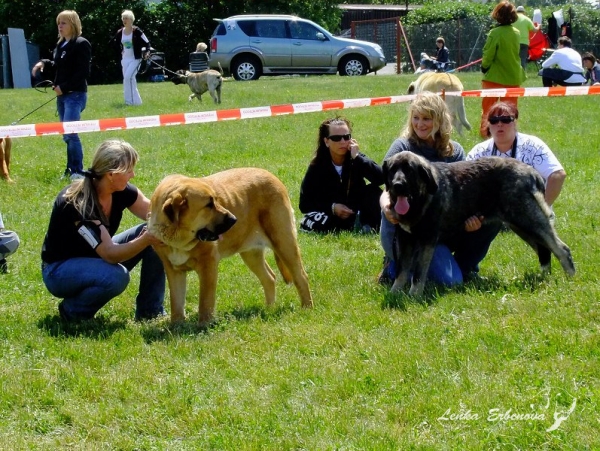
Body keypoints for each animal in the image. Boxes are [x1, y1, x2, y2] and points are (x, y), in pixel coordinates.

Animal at [148, 167, 314, 324]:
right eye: (209, 205)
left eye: (216, 200)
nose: (234, 219)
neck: (178, 239)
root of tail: (273, 177)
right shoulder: (173, 271)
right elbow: (176, 302)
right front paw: (177, 325)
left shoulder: (208, 266)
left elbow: (205, 301)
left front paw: (204, 324)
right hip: (251, 253)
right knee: (269, 278)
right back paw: (269, 309)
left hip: (283, 243)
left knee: (301, 276)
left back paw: (307, 308)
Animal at [382, 152, 576, 296]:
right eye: (392, 170)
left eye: (409, 170)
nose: (397, 185)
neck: (420, 200)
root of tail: (532, 173)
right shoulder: (404, 239)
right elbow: (402, 270)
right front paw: (395, 294)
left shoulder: (426, 241)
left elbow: (418, 273)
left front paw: (414, 295)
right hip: (521, 225)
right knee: (544, 249)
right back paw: (544, 278)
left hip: (529, 220)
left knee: (561, 249)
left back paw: (570, 279)